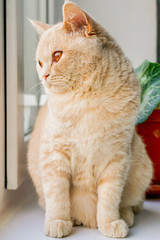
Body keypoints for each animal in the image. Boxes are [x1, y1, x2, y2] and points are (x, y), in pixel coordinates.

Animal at [27, 1, 152, 238]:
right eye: (39, 62)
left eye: (57, 56)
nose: (44, 76)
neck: (86, 101)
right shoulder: (54, 156)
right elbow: (57, 196)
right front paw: (58, 221)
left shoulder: (117, 159)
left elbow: (109, 197)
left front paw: (109, 222)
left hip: (142, 163)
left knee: (133, 202)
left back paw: (126, 215)